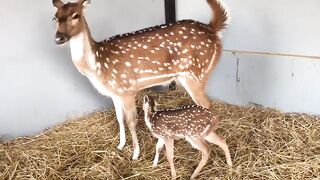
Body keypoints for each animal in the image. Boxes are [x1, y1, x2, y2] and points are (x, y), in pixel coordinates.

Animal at [52, 0, 228, 160]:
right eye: (55, 17)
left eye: (76, 15)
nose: (58, 38)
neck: (97, 65)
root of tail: (212, 29)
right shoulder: (115, 93)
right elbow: (119, 119)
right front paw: (120, 145)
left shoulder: (127, 90)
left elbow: (131, 121)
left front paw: (135, 154)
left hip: (196, 74)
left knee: (205, 103)